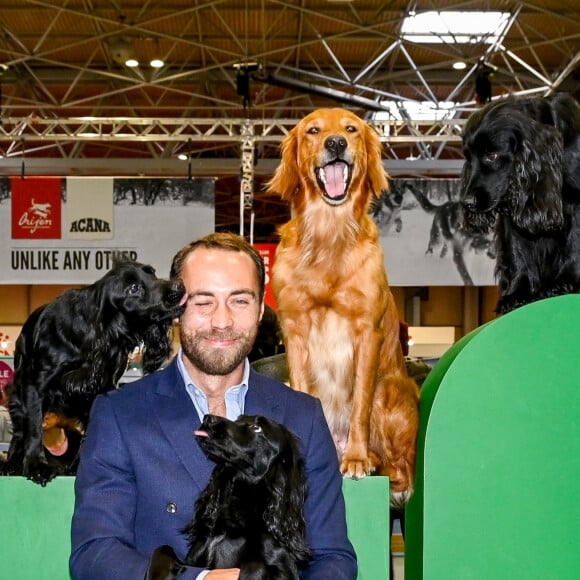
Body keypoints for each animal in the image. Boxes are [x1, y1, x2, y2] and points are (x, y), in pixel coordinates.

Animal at [0, 260, 186, 484]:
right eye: (133, 289)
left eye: (151, 273)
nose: (179, 286)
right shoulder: (35, 384)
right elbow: (34, 427)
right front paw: (36, 464)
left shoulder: (100, 389)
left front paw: (81, 466)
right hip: (16, 394)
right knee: (20, 432)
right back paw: (12, 464)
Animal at [462, 93, 580, 314]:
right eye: (468, 158)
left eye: (492, 155)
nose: (467, 203)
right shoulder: (513, 213)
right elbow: (517, 253)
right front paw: (516, 293)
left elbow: (574, 244)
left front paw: (567, 281)